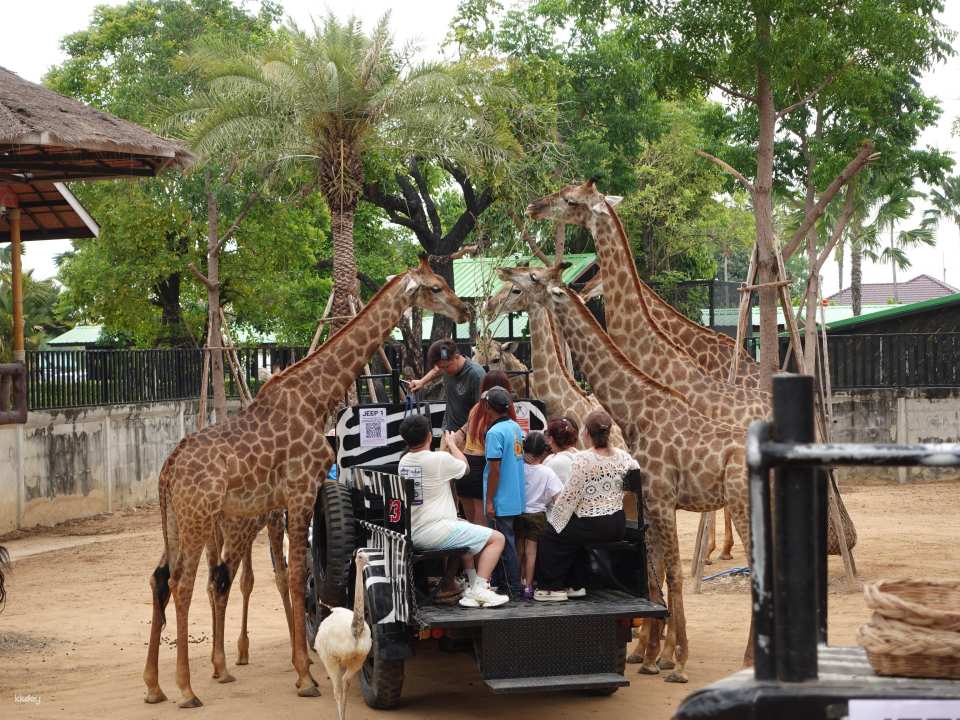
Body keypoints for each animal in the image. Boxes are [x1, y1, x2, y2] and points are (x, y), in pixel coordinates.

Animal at [143, 257, 470, 707]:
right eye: (436, 288)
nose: (465, 311)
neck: (318, 398)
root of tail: (168, 468)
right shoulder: (301, 489)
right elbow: (299, 575)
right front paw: (304, 676)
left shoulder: (293, 496)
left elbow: (292, 575)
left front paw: (303, 668)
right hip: (200, 517)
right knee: (184, 582)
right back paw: (187, 689)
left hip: (177, 520)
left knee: (163, 579)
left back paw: (156, 686)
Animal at [496, 263, 752, 683]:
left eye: (528, 280)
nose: (502, 278)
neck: (635, 411)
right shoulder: (653, 502)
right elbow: (654, 571)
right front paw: (652, 656)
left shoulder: (660, 498)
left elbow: (671, 574)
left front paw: (676, 662)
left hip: (743, 504)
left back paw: (745, 660)